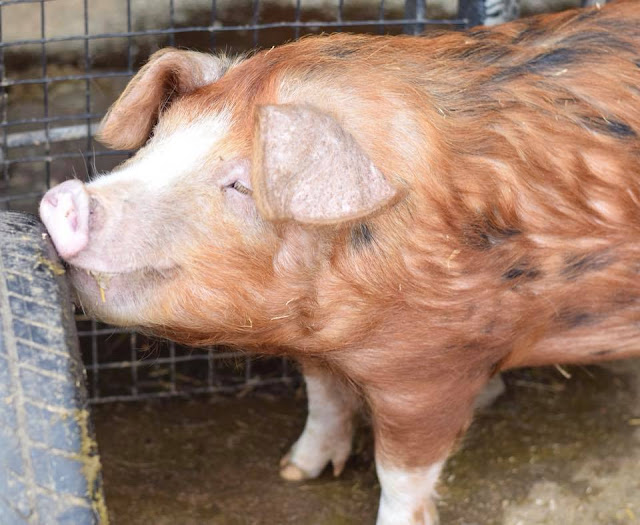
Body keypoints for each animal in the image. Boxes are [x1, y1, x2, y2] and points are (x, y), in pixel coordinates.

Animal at [38, 2, 640, 520]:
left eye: (241, 184)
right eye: (156, 141)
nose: (64, 198)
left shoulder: (435, 366)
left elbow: (401, 472)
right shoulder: (321, 353)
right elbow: (324, 400)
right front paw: (296, 471)